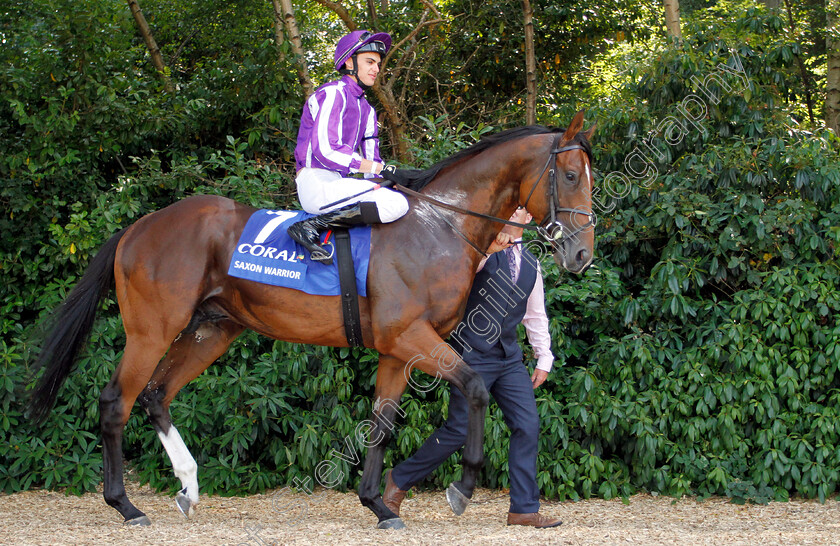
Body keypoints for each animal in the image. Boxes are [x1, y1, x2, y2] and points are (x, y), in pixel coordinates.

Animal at [29, 110, 596, 528]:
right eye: (570, 176)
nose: (582, 254)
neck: (440, 223)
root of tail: (139, 226)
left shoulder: (398, 349)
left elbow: (381, 423)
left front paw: (377, 504)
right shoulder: (410, 335)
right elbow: (476, 388)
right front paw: (463, 485)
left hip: (211, 330)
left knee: (156, 395)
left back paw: (188, 487)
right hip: (151, 331)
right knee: (116, 401)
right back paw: (125, 505)